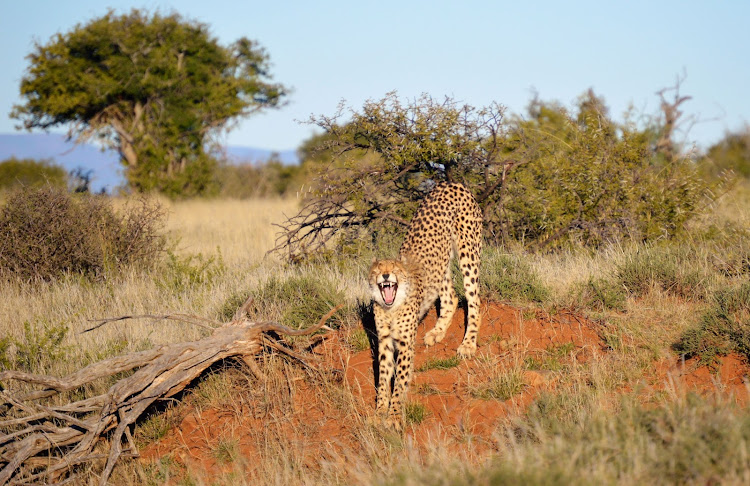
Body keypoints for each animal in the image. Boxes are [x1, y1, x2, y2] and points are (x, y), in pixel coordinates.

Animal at [368, 182, 482, 430]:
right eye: (377, 270)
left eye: (394, 269)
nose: (385, 275)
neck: (391, 306)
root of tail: (452, 183)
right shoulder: (384, 341)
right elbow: (383, 377)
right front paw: (379, 411)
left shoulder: (404, 342)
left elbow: (400, 380)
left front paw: (393, 416)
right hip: (442, 263)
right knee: (450, 297)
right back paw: (437, 332)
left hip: (468, 251)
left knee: (474, 299)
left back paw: (468, 344)